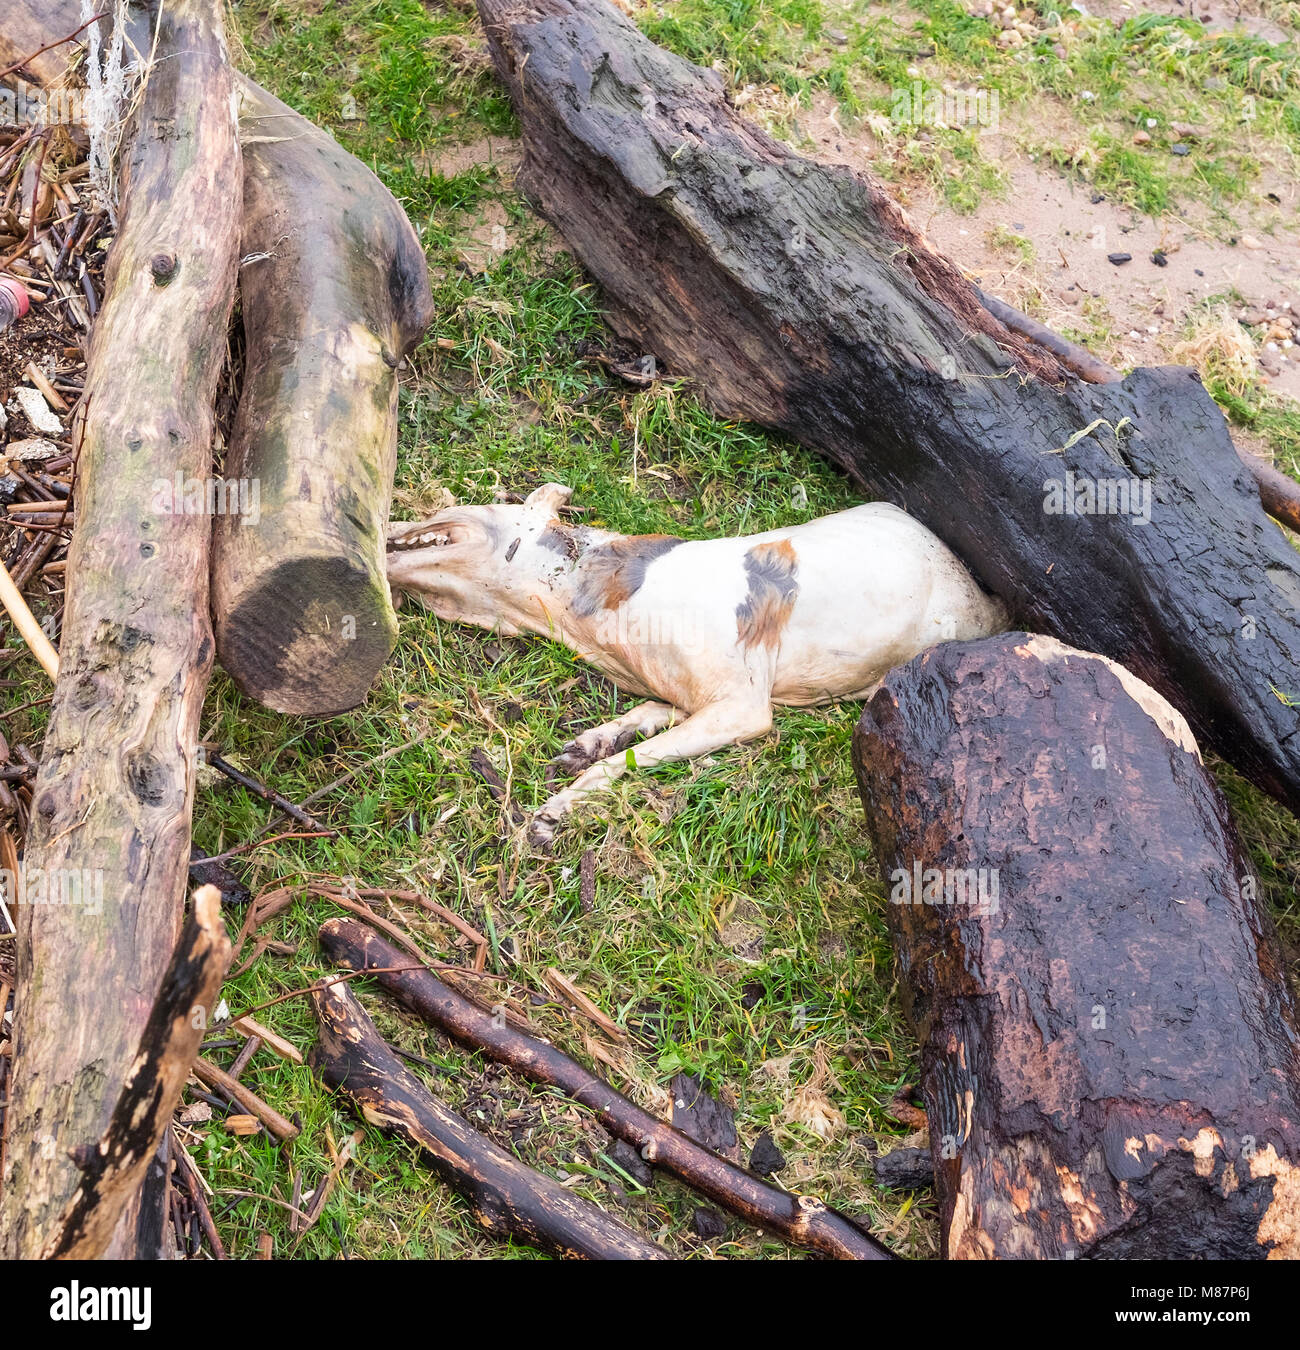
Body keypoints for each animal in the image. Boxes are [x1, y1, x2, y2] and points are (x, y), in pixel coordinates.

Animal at [386, 486, 1004, 842]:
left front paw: (546, 819)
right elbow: (652, 720)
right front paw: (581, 747)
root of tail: (989, 599)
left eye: (486, 509)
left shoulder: (742, 701)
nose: (387, 527)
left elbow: (639, 756)